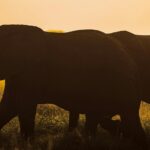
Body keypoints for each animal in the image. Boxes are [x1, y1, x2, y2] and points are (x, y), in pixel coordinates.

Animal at [0, 24, 148, 149]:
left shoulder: (30, 73)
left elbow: (23, 108)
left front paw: (28, 145)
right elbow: (9, 107)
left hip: (120, 85)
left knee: (128, 115)